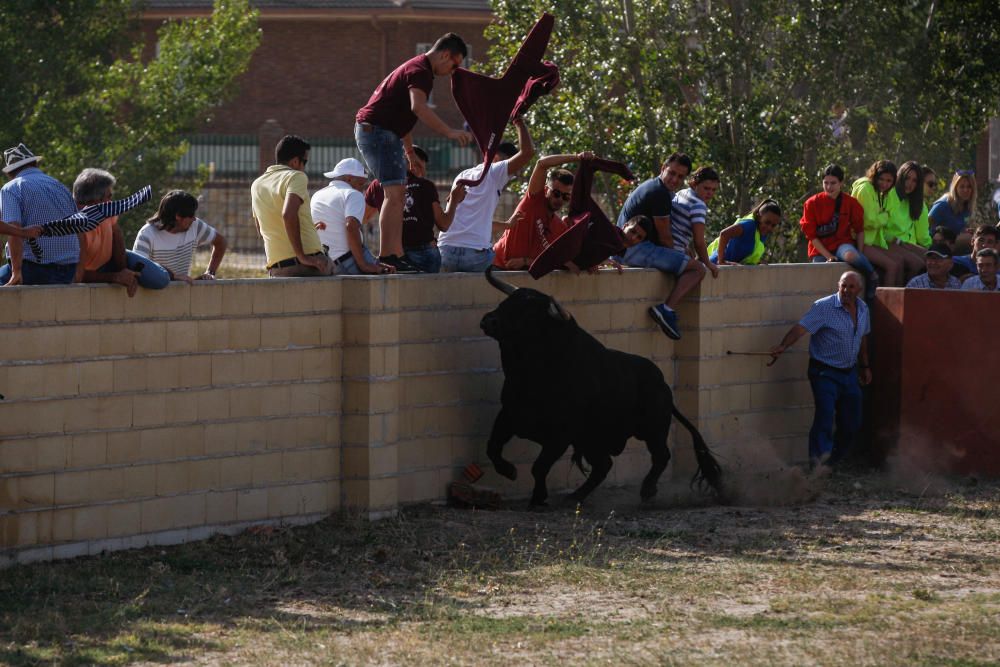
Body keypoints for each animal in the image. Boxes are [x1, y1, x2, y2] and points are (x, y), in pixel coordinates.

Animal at [480, 268, 724, 506]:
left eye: (529, 314)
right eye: (507, 301)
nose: (488, 320)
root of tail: (661, 382)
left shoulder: (560, 435)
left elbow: (538, 467)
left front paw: (538, 497)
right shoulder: (508, 415)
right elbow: (493, 447)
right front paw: (509, 471)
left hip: (651, 429)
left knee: (660, 456)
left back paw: (646, 491)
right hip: (593, 439)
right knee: (604, 465)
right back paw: (576, 496)